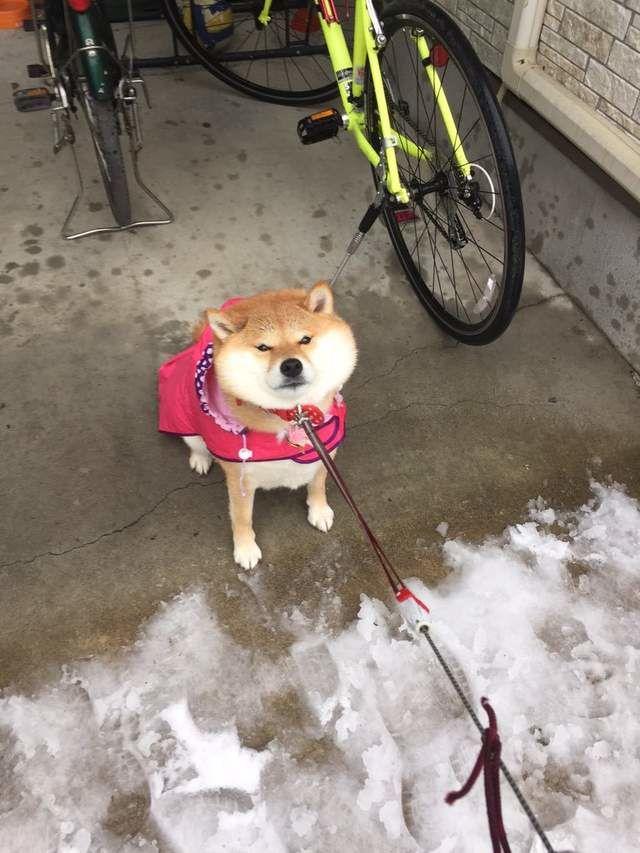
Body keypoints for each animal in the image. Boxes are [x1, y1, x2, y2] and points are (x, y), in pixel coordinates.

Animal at [158, 282, 358, 568]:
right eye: (263, 347)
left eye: (305, 340)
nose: (291, 365)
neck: (293, 415)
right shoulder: (240, 478)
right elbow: (242, 518)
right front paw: (245, 548)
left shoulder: (325, 450)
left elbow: (318, 484)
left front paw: (319, 510)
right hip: (187, 423)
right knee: (197, 445)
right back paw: (201, 459)